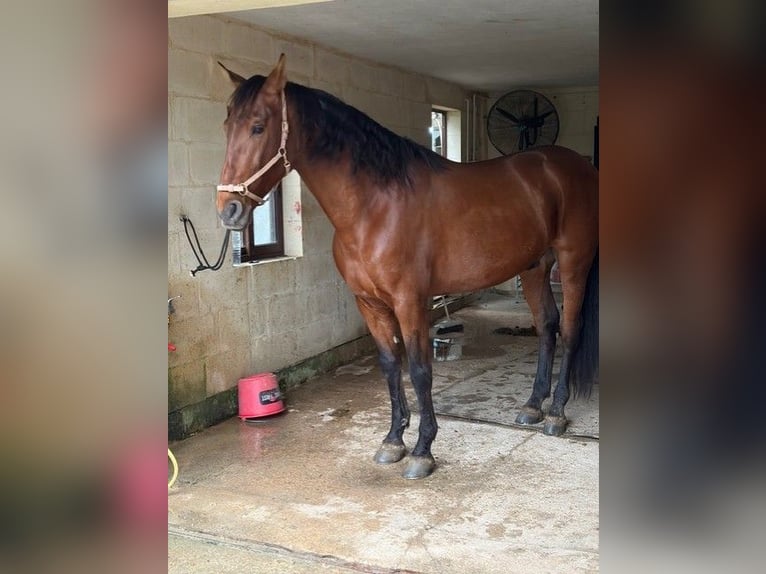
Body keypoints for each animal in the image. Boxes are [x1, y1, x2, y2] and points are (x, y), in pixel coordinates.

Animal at [215, 54, 598, 479]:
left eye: (258, 126)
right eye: (227, 126)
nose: (229, 210)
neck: (375, 206)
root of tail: (573, 165)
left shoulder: (410, 301)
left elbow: (418, 370)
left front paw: (422, 451)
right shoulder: (369, 303)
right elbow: (389, 366)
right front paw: (393, 441)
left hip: (573, 262)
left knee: (569, 328)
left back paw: (557, 413)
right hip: (534, 267)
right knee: (547, 326)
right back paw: (533, 407)